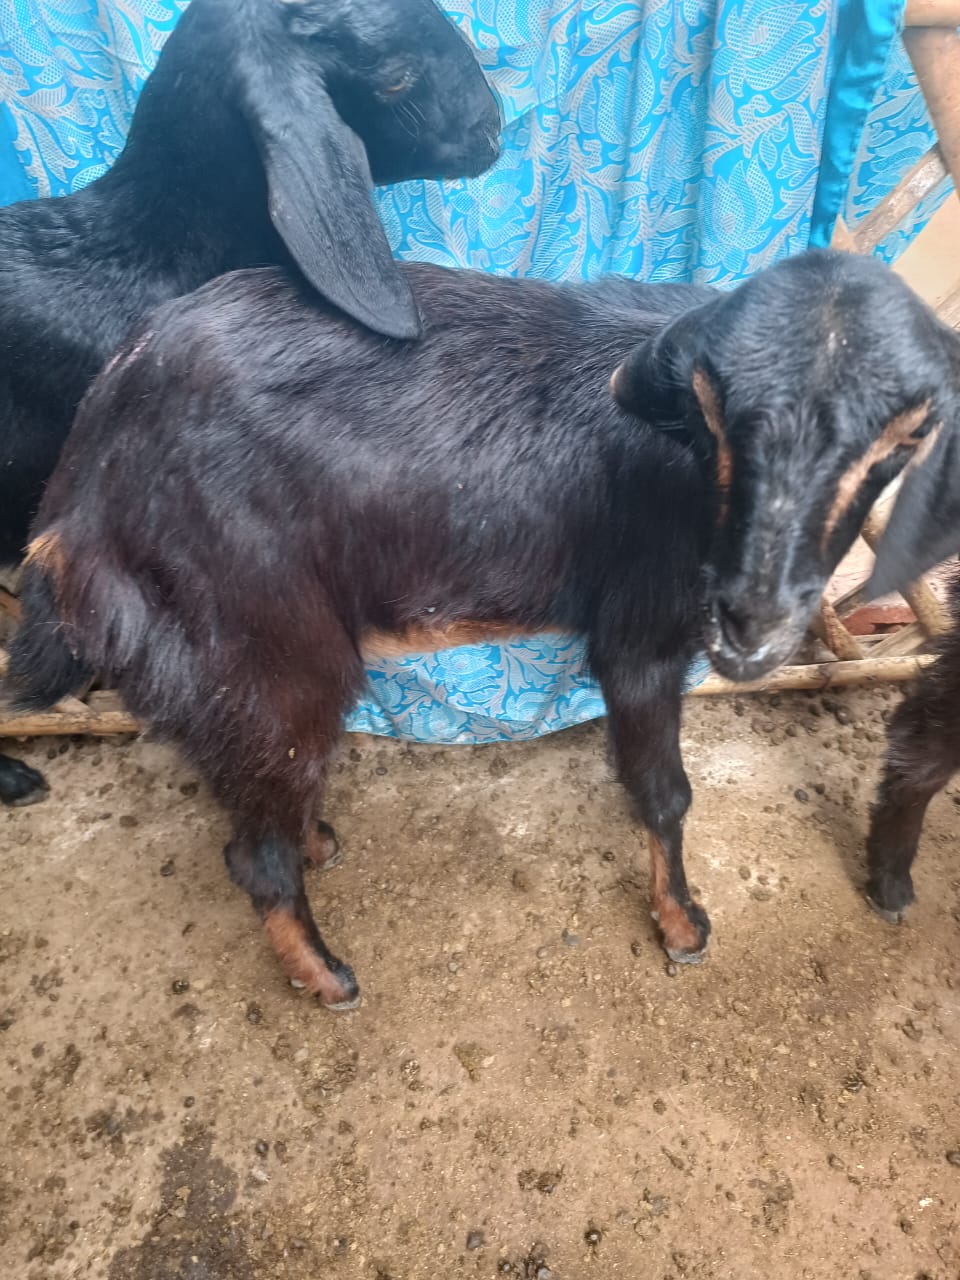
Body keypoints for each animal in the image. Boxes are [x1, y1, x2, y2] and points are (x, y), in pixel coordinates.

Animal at [6, 250, 932, 1007]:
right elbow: (666, 791)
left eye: (896, 444)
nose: (755, 620)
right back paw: (326, 974)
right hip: (265, 646)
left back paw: (315, 841)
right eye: (722, 418)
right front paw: (683, 926)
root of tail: (81, 492)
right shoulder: (638, 635)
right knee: (253, 846)